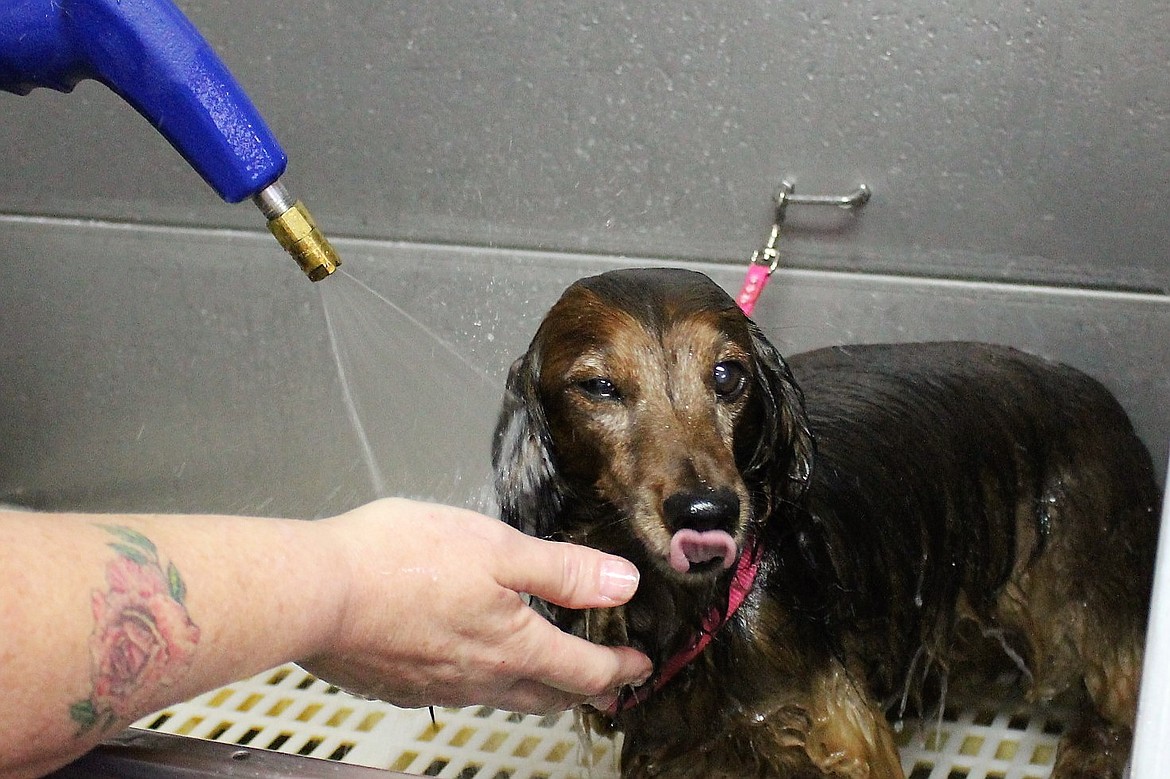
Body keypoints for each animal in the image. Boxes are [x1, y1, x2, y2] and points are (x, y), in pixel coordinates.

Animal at [489, 269, 1155, 776]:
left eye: (728, 375)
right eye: (598, 386)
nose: (708, 512)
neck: (691, 610)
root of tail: (1106, 401)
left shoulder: (838, 737)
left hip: (1087, 596)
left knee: (1119, 700)